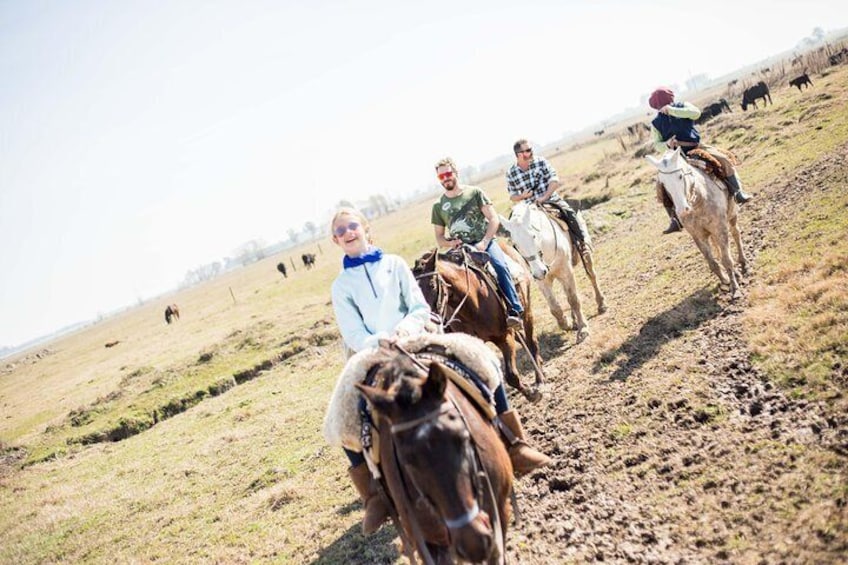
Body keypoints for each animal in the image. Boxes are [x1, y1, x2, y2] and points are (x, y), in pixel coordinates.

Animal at [416, 247, 548, 400]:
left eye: (432, 285)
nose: (427, 324)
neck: (474, 303)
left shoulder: (504, 337)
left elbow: (511, 376)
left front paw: (532, 394)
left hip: (526, 311)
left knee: (531, 342)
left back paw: (539, 379)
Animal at [500, 203, 608, 344]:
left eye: (533, 235)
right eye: (515, 244)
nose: (540, 271)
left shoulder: (566, 271)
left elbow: (573, 299)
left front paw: (583, 330)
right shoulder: (542, 281)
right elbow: (554, 307)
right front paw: (566, 323)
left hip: (585, 255)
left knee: (592, 276)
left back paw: (601, 305)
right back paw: (574, 321)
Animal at [644, 148, 744, 298]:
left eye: (680, 176)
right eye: (664, 184)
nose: (682, 210)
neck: (699, 200)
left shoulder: (720, 228)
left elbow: (726, 260)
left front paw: (735, 289)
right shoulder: (697, 235)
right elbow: (712, 262)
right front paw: (725, 280)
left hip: (732, 215)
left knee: (736, 234)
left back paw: (743, 262)